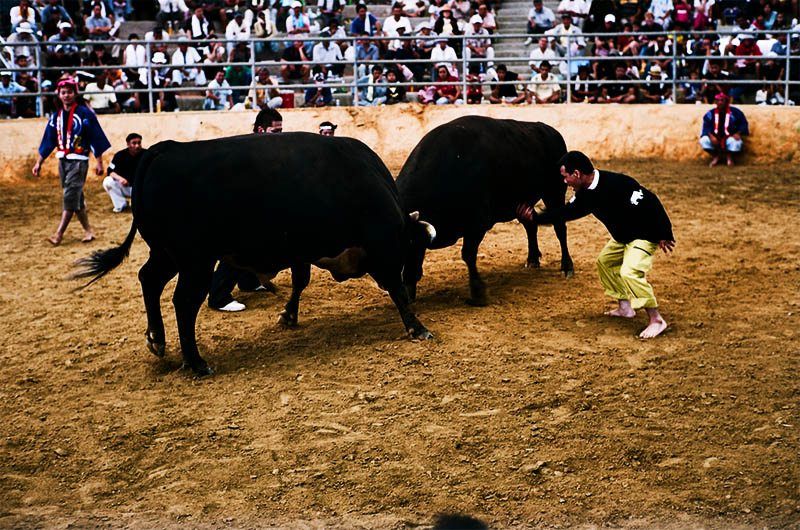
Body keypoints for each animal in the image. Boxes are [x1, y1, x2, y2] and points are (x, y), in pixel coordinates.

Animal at [74, 132, 434, 376]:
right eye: (412, 251)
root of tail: (167, 148)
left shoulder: (301, 250)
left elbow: (300, 281)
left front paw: (289, 315)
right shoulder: (382, 245)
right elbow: (395, 288)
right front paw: (416, 327)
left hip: (166, 253)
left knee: (148, 279)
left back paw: (157, 339)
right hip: (195, 261)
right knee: (184, 302)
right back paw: (196, 362)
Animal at [400, 116, 576, 306]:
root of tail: (549, 130)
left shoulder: (477, 223)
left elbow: (468, 254)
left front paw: (478, 292)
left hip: (554, 192)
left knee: (560, 228)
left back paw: (567, 266)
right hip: (522, 203)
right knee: (530, 225)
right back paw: (532, 259)